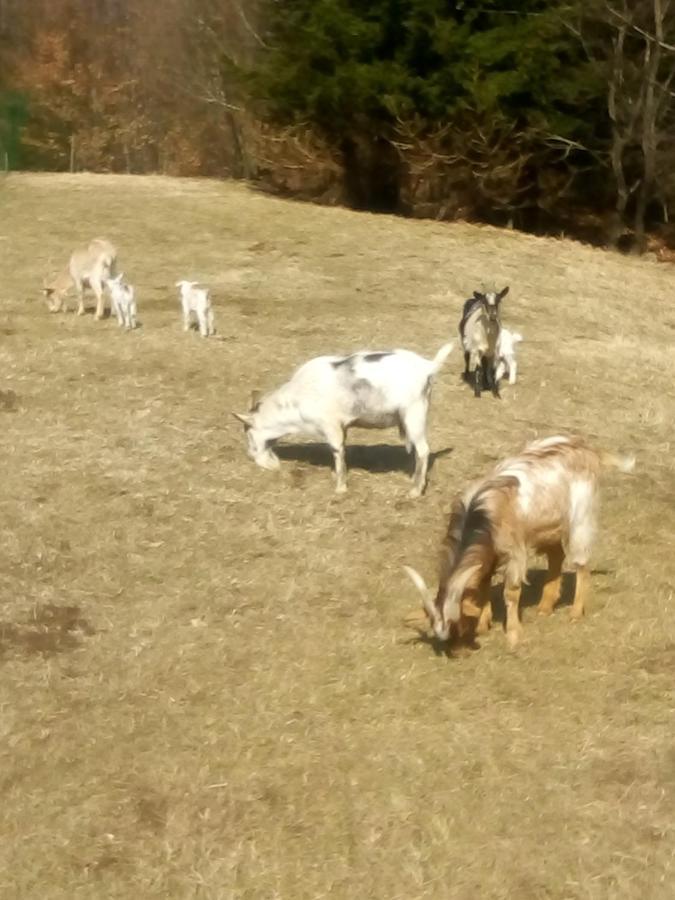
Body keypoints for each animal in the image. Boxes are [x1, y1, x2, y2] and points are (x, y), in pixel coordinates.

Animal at [232, 344, 454, 500]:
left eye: (248, 434)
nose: (251, 456)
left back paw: (415, 490)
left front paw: (340, 488)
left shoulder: (330, 425)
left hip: (414, 413)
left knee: (423, 450)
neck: (296, 400)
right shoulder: (341, 426)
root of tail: (427, 367)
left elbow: (337, 451)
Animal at [406, 434, 632, 648]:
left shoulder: (514, 551)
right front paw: (483, 624)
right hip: (547, 527)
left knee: (581, 563)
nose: (458, 649)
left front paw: (513, 634)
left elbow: (511, 592)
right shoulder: (489, 554)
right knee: (556, 555)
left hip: (581, 519)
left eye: (458, 622)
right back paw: (545, 607)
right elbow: (483, 585)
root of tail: (589, 450)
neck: (481, 514)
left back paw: (575, 613)